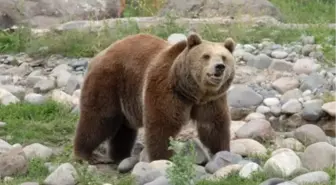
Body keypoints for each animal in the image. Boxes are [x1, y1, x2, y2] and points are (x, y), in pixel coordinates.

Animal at [73, 32, 236, 165]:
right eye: (206, 56)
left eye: (224, 57)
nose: (219, 67)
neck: (192, 91)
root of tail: (100, 54)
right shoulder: (166, 89)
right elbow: (162, 124)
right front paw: (162, 158)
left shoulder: (211, 100)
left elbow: (213, 125)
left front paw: (222, 151)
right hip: (109, 81)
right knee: (99, 118)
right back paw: (85, 154)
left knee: (124, 128)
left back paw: (120, 155)